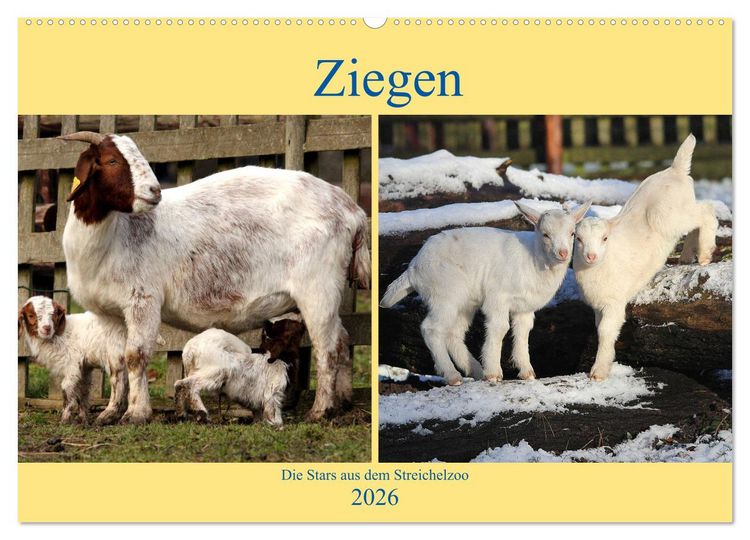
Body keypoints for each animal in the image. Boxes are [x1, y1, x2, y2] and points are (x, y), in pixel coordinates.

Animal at [17, 296, 129, 425]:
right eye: (31, 315)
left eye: (54, 314)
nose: (47, 328)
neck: (60, 334)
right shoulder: (85, 367)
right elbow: (83, 391)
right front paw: (82, 419)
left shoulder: (72, 364)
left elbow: (66, 389)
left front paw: (65, 420)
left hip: (116, 356)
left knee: (120, 384)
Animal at [175, 317, 307, 426]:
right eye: (288, 323)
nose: (302, 322)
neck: (281, 358)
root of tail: (190, 349)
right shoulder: (273, 392)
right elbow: (274, 411)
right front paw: (276, 424)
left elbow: (258, 412)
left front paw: (258, 422)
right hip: (219, 372)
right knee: (188, 384)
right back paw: (201, 414)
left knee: (179, 385)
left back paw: (181, 413)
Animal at [380, 201, 591, 384]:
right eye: (545, 234)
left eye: (573, 233)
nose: (563, 253)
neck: (533, 258)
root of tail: (413, 268)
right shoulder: (498, 297)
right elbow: (500, 327)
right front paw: (493, 373)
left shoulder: (524, 307)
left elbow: (522, 333)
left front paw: (527, 372)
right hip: (445, 294)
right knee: (431, 329)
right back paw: (453, 375)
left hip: (464, 302)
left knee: (453, 333)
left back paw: (475, 369)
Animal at [573, 134, 718, 381]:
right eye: (577, 239)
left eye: (604, 238)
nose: (591, 256)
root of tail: (675, 170)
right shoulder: (598, 305)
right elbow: (601, 329)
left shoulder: (613, 302)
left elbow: (605, 331)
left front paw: (598, 372)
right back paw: (687, 256)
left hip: (668, 216)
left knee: (707, 211)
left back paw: (706, 254)